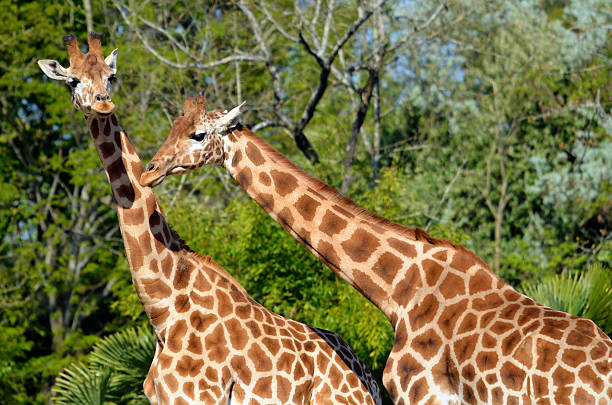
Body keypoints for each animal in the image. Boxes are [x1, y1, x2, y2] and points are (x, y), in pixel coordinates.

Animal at [39, 34, 382, 404]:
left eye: (110, 76)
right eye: (73, 80)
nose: (103, 104)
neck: (163, 304)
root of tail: (369, 378)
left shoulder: (198, 396)